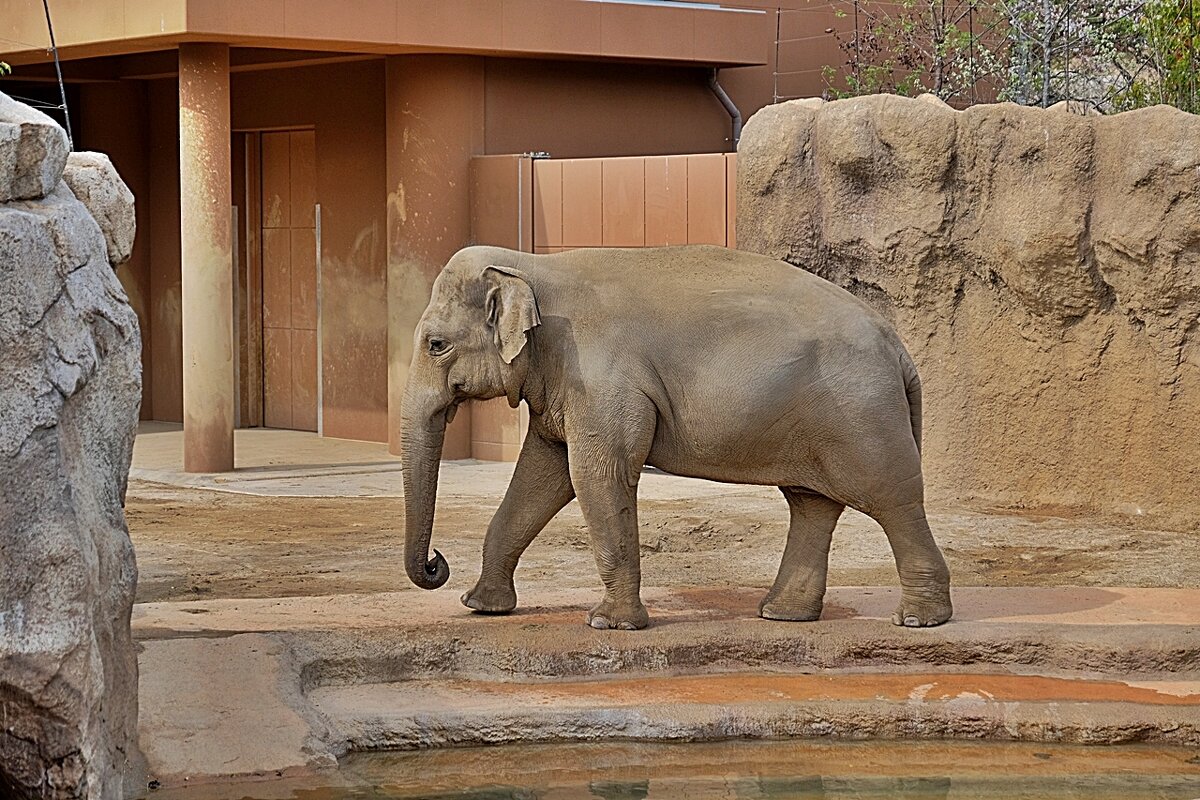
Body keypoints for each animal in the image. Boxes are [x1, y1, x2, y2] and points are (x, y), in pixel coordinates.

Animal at [398, 244, 950, 633]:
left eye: (436, 344)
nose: (436, 562)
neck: (533, 267)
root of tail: (899, 348)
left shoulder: (602, 377)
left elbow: (596, 474)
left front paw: (609, 624)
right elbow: (543, 474)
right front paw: (481, 607)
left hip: (862, 412)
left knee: (890, 498)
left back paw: (920, 620)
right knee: (812, 503)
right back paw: (781, 614)